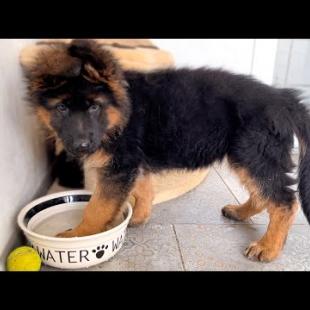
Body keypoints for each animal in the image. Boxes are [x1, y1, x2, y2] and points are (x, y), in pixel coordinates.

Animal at [23, 38, 310, 262]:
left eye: (94, 107)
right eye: (61, 108)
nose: (81, 147)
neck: (121, 109)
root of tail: (283, 99)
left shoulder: (119, 166)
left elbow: (97, 207)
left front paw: (79, 236)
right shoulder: (132, 163)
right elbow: (142, 189)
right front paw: (139, 216)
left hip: (252, 154)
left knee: (283, 201)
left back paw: (268, 247)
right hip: (247, 156)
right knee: (264, 194)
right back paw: (241, 213)